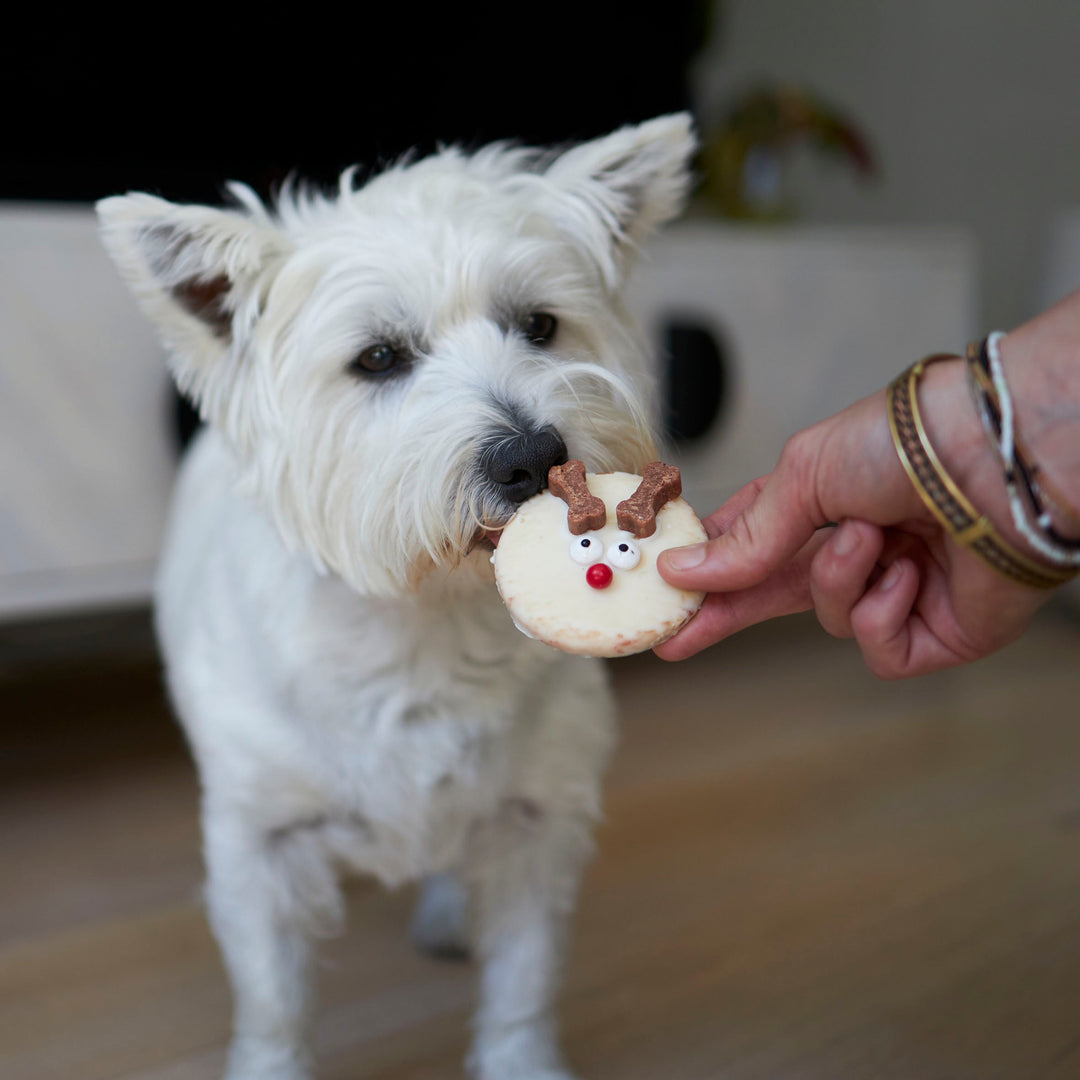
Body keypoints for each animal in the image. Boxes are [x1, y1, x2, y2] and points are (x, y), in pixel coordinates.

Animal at [99, 116, 691, 1080]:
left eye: (540, 325)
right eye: (378, 358)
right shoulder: (260, 843)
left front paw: (522, 1062)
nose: (531, 455)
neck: (427, 617)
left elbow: (525, 977)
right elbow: (273, 1001)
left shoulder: (539, 820)